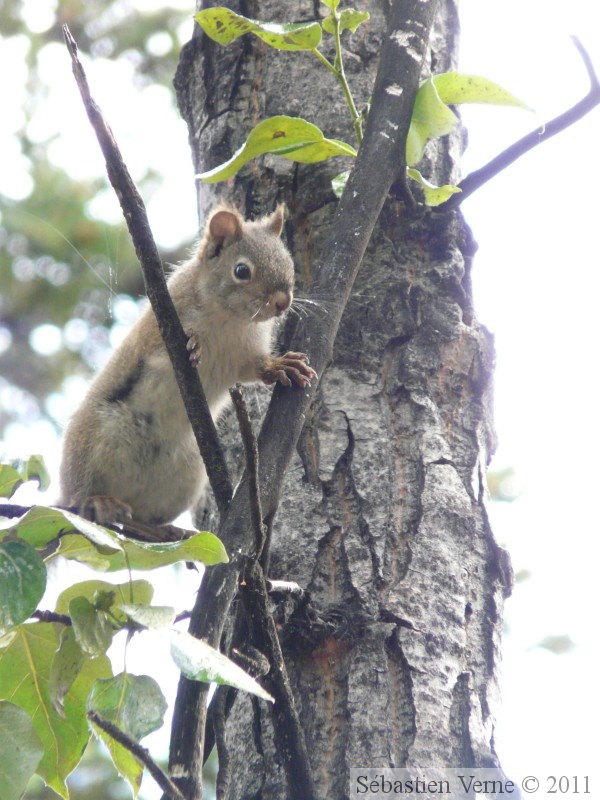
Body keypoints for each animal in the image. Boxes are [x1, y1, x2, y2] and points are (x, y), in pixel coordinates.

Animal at [58, 203, 316, 528]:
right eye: (241, 270)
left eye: (288, 261)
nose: (283, 302)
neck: (230, 320)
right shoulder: (159, 325)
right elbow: (159, 347)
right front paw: (194, 344)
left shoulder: (244, 355)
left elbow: (255, 368)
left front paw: (283, 365)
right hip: (90, 442)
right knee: (80, 494)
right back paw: (97, 502)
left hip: (186, 473)